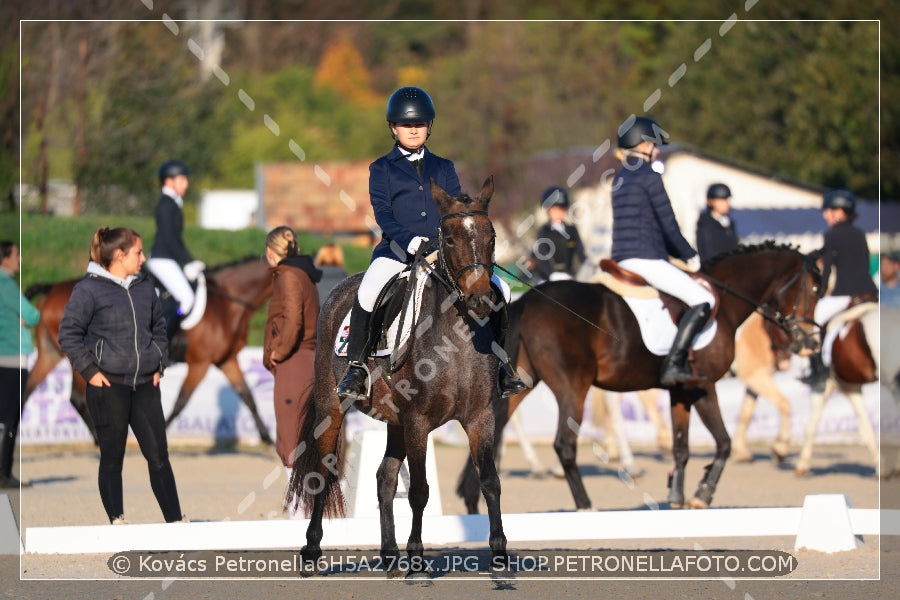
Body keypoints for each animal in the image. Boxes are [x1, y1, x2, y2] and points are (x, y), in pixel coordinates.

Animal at [22, 255, 272, 442]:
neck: (226, 304)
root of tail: (52, 288)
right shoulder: (200, 364)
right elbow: (181, 402)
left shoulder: (226, 360)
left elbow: (248, 396)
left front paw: (267, 439)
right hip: (80, 357)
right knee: (78, 398)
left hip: (51, 354)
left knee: (28, 389)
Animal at [460, 243, 820, 510]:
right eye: (814, 289)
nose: (811, 343)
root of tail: (530, 299)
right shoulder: (704, 387)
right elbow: (724, 442)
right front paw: (703, 495)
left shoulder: (681, 390)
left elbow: (681, 446)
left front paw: (676, 496)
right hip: (572, 387)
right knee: (564, 445)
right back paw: (585, 506)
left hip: (523, 383)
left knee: (494, 430)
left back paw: (472, 500)